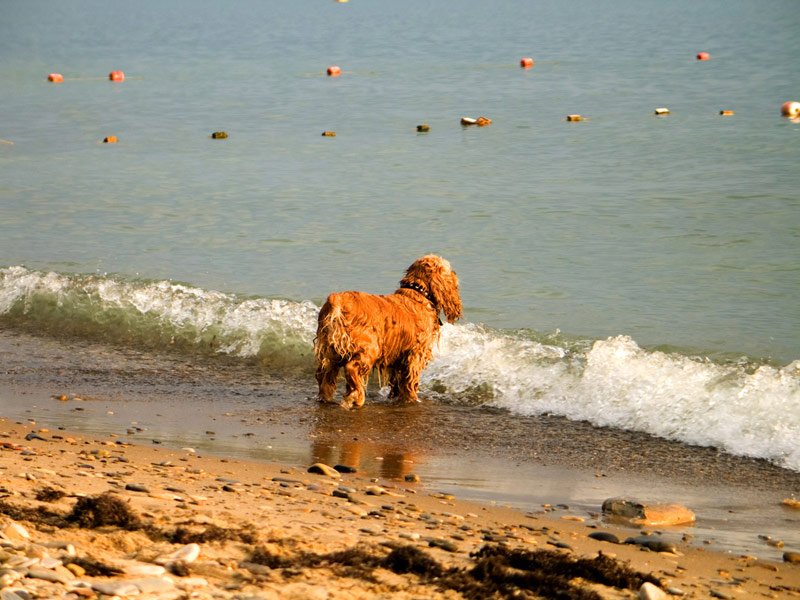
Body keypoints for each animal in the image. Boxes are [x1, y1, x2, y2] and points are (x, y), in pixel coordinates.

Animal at [314, 253, 462, 408]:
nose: (455, 273)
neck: (417, 294)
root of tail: (337, 300)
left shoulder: (399, 358)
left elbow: (398, 382)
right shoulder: (415, 355)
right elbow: (410, 382)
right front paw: (412, 399)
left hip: (329, 350)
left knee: (324, 374)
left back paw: (326, 398)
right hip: (369, 347)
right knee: (351, 369)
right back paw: (355, 398)